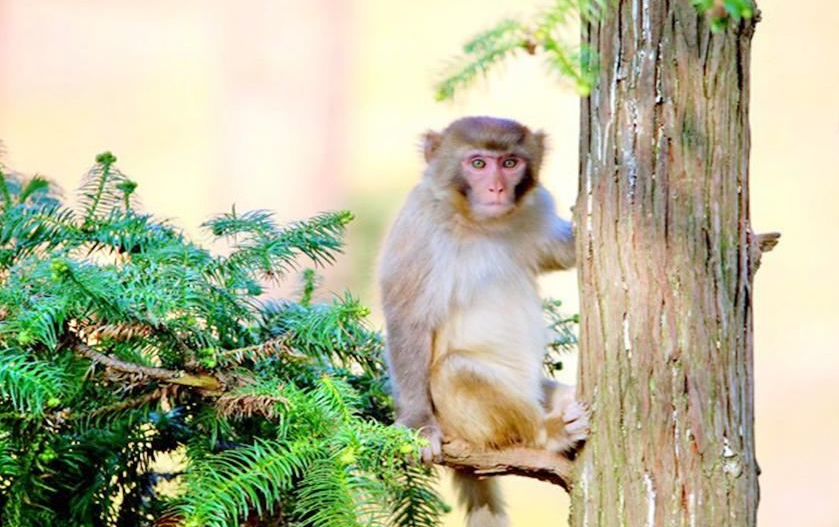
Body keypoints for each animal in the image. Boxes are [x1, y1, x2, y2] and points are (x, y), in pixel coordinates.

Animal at [380, 116, 592, 527]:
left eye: (510, 163)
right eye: (478, 164)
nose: (496, 187)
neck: (479, 223)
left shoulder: (536, 210)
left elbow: (565, 253)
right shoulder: (419, 226)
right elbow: (408, 318)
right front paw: (416, 424)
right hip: (455, 421)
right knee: (454, 371)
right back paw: (549, 433)